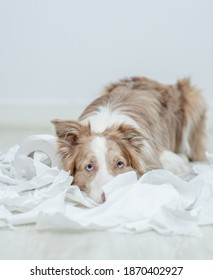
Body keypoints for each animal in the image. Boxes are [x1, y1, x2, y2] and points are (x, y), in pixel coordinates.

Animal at [51, 76, 206, 203]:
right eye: (89, 167)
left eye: (120, 164)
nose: (111, 196)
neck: (103, 126)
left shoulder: (169, 161)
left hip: (192, 98)